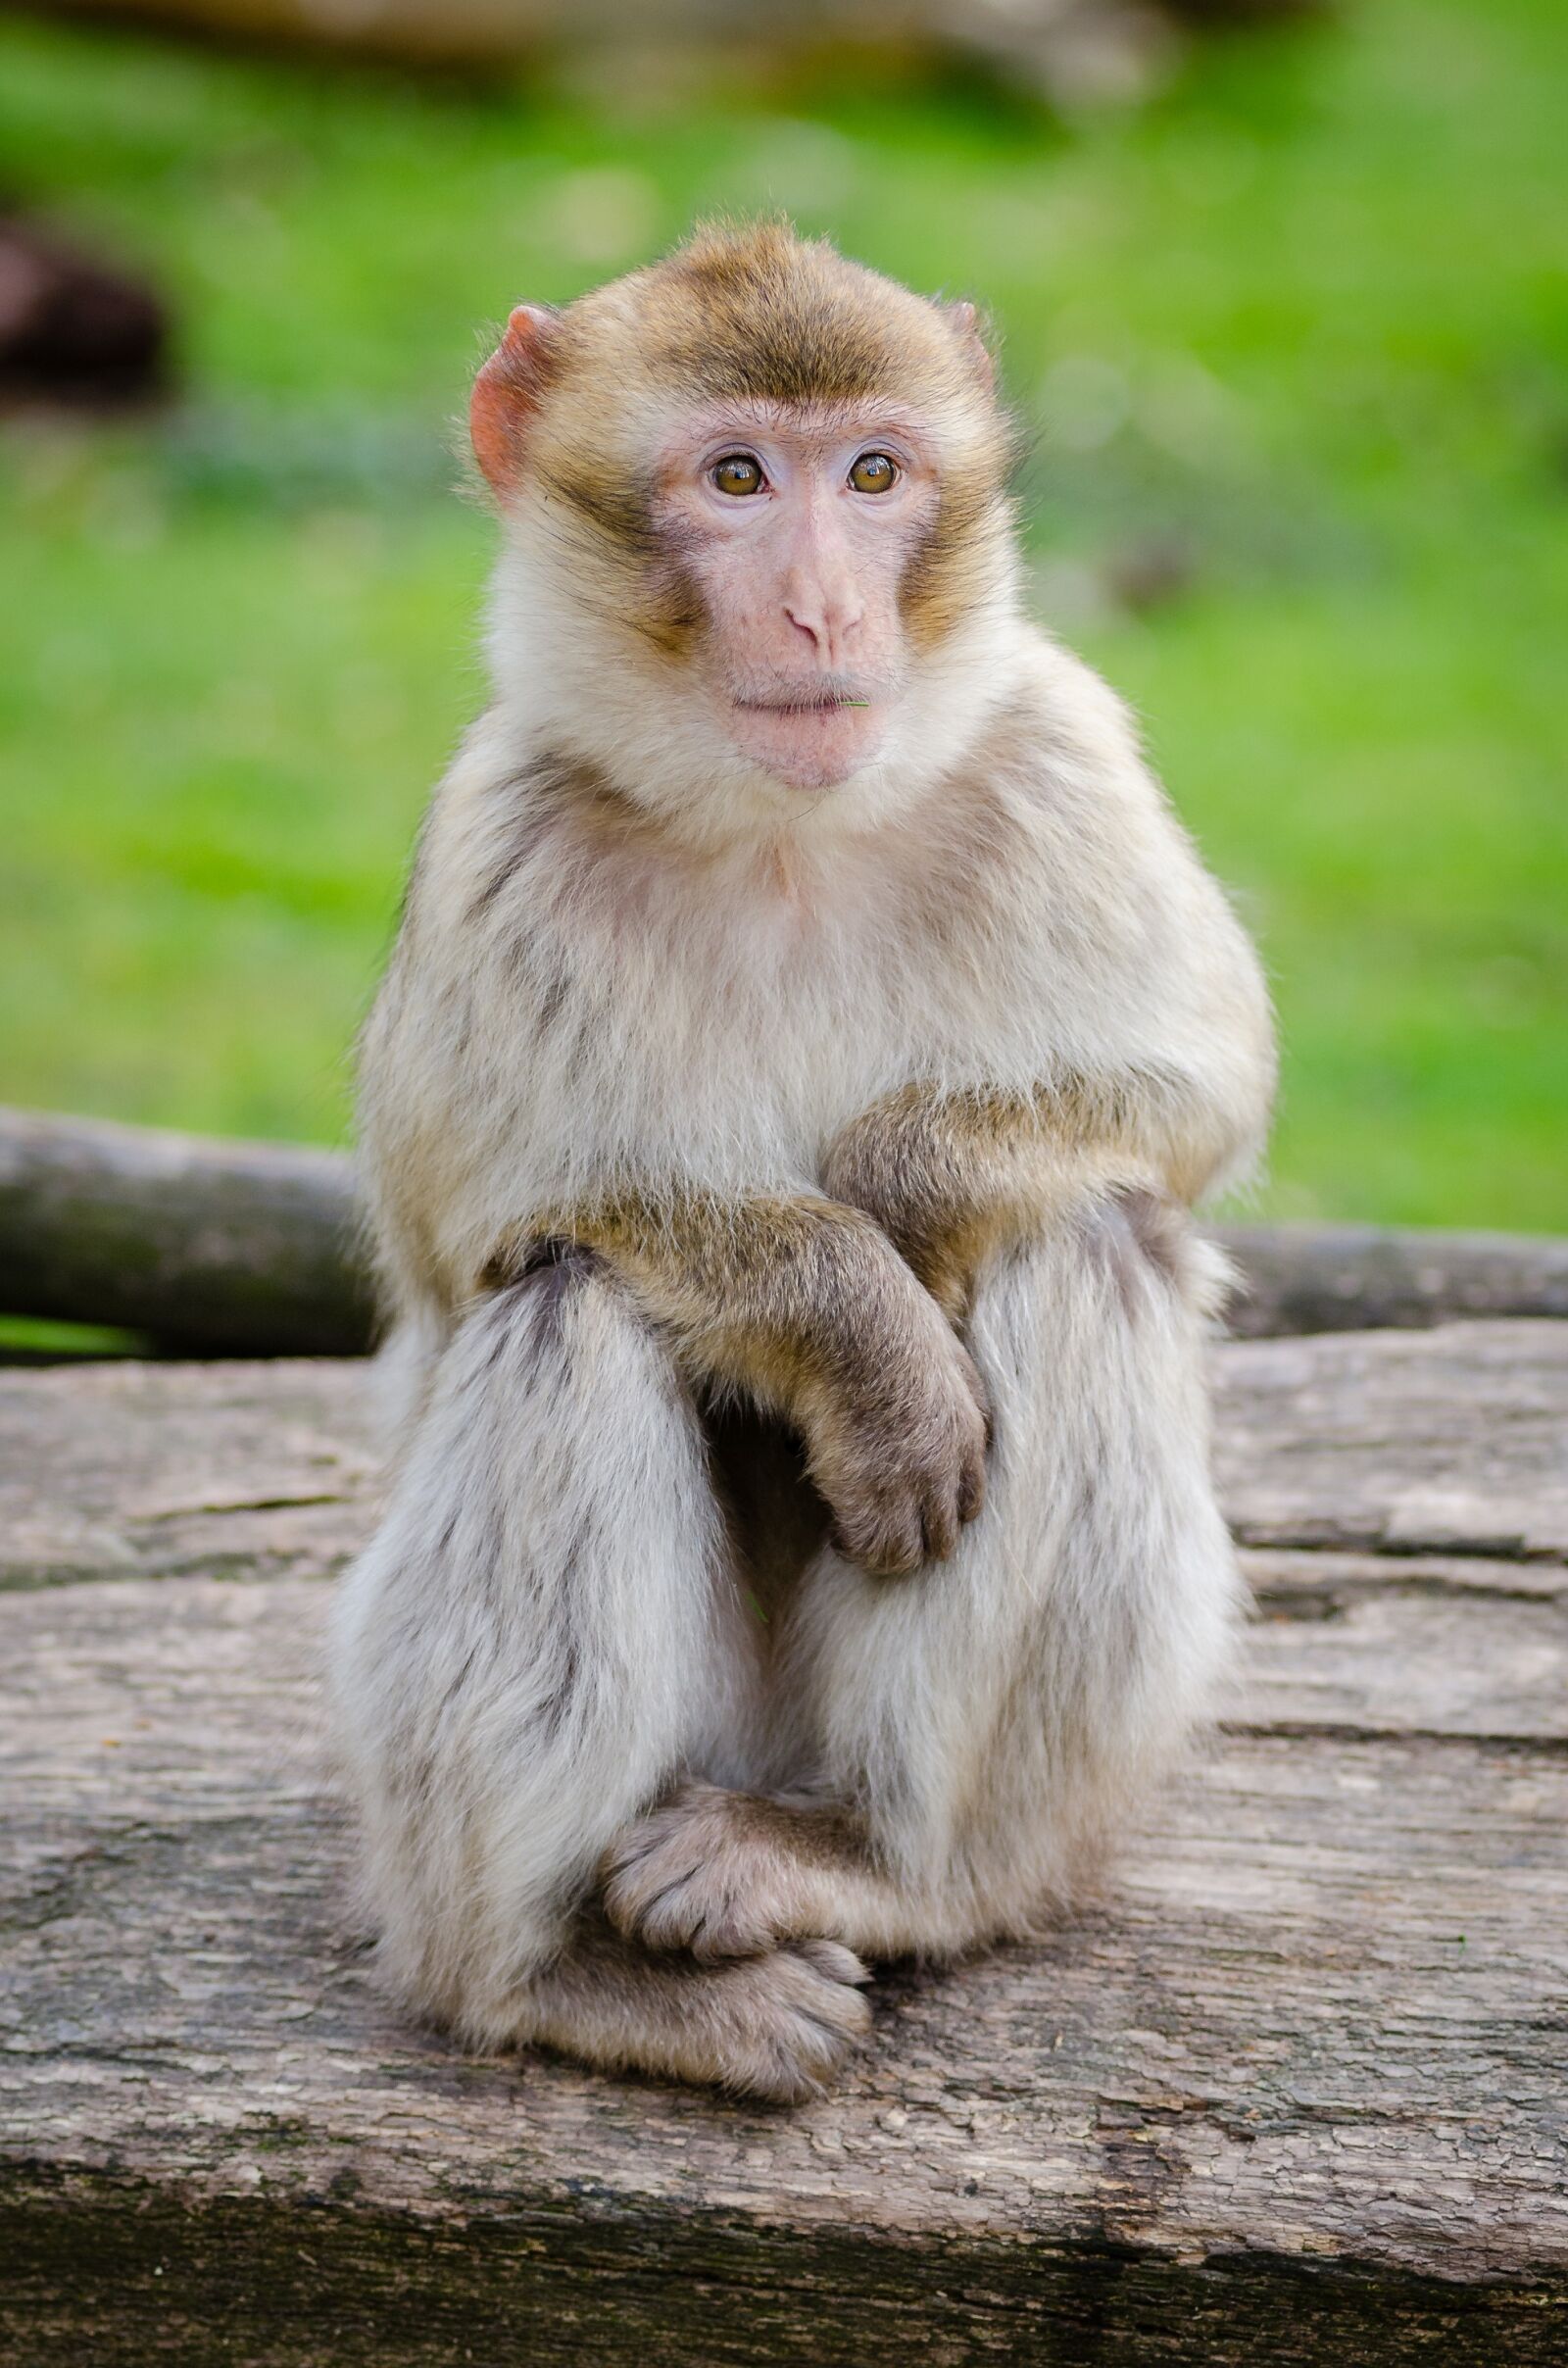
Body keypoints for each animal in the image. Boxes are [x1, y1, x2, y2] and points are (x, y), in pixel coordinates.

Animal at [330, 223, 1275, 2103]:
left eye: (876, 475)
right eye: (738, 479)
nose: (827, 609)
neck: (784, 839)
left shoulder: (1067, 755)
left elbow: (1194, 1090)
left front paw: (904, 1202)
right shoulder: (499, 843)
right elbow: (499, 1224)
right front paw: (869, 1340)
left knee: (1084, 1237)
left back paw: (878, 1864)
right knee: (570, 1311)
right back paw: (550, 1976)